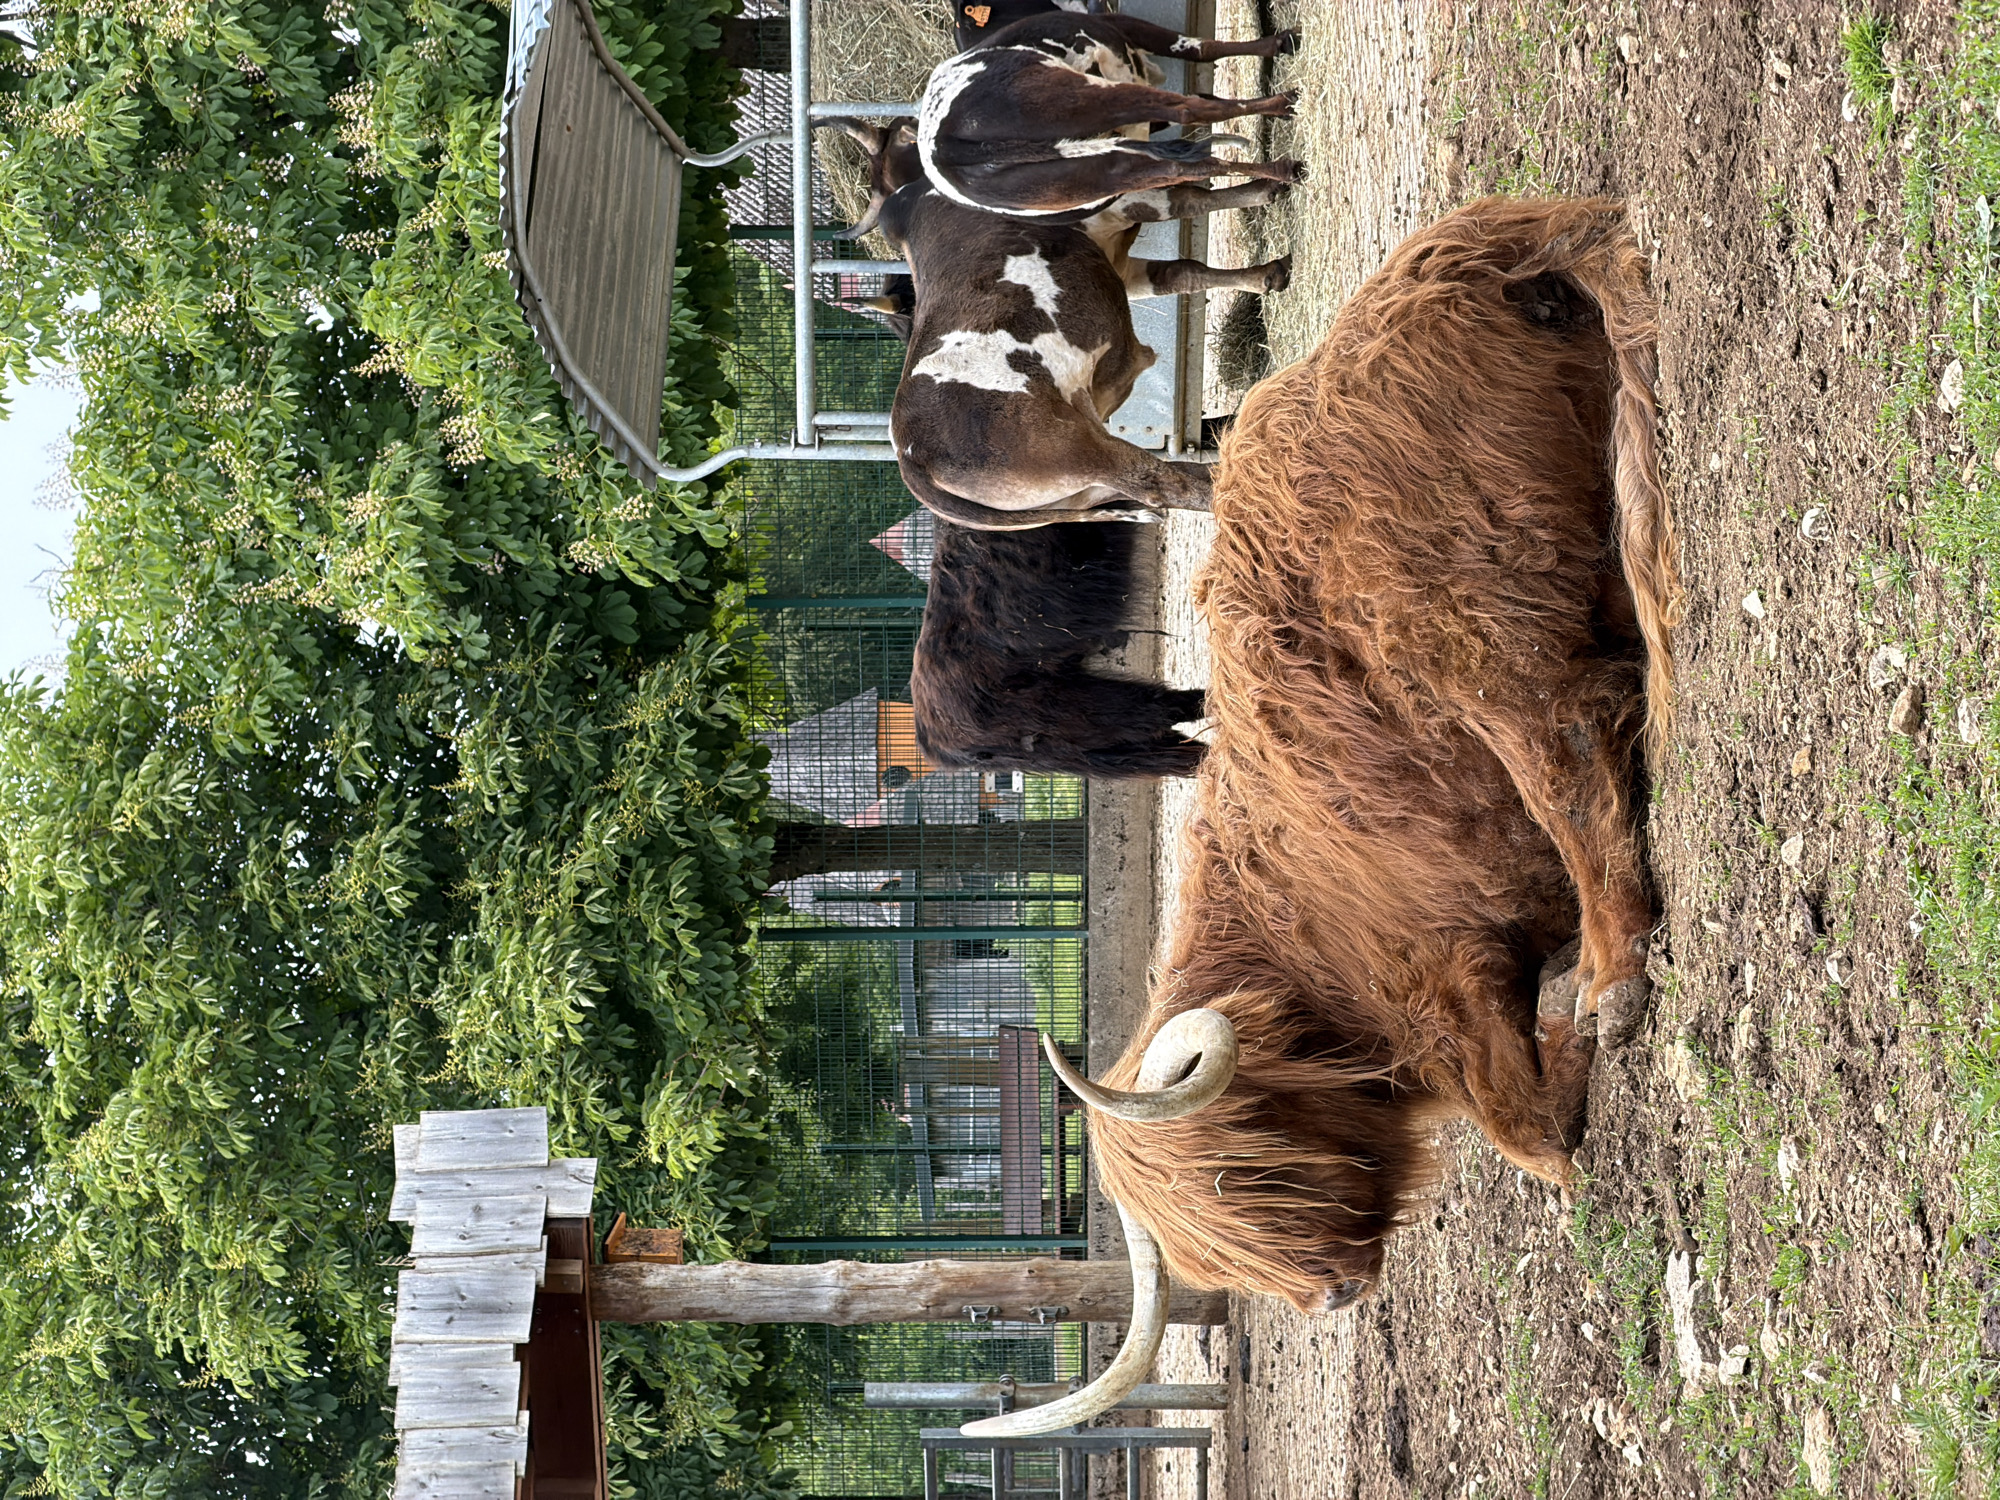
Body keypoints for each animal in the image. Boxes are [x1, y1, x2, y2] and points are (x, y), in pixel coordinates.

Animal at [918, 12, 1303, 221]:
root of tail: (941, 147)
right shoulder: (1123, 27)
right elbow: (1200, 50)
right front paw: (1280, 42)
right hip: (1094, 99)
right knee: (1189, 110)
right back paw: (1283, 110)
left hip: (1100, 174)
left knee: (1186, 166)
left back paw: (1279, 172)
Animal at [955, 198, 1681, 1441]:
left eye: (1232, 1170)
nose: (1333, 1292)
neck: (1299, 953)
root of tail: (1461, 248)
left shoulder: (1441, 984)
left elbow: (1532, 1137)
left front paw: (1566, 1032)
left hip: (1479, 645)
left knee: (1576, 758)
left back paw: (1612, 974)